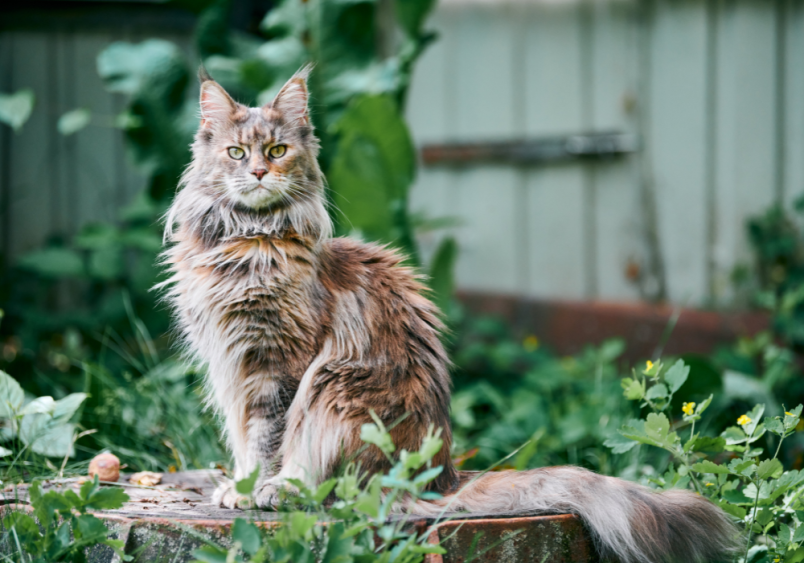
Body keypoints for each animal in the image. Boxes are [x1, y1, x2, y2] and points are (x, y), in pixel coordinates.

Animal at [160, 67, 740, 563]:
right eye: (237, 153)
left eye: (278, 151)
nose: (259, 172)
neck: (246, 243)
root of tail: (441, 479)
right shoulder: (231, 366)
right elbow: (244, 440)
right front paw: (236, 485)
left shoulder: (277, 366)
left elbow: (268, 440)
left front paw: (254, 490)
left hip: (332, 385)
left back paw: (285, 492)